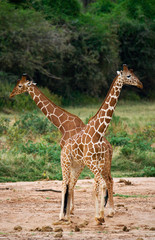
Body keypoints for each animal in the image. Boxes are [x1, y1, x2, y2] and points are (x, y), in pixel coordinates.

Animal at [10, 74, 112, 215]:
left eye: (20, 85)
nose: (11, 94)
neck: (62, 124)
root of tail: (109, 147)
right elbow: (71, 181)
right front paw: (70, 209)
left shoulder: (69, 154)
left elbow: (69, 181)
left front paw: (70, 209)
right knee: (109, 180)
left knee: (105, 180)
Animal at [59, 64, 143, 224]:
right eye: (128, 76)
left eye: (133, 73)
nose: (140, 84)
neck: (99, 132)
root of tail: (64, 147)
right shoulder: (90, 161)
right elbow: (98, 185)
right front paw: (100, 216)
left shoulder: (98, 161)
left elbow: (99, 185)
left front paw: (100, 216)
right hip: (65, 162)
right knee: (64, 184)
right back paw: (61, 216)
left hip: (77, 165)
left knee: (71, 184)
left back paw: (68, 216)